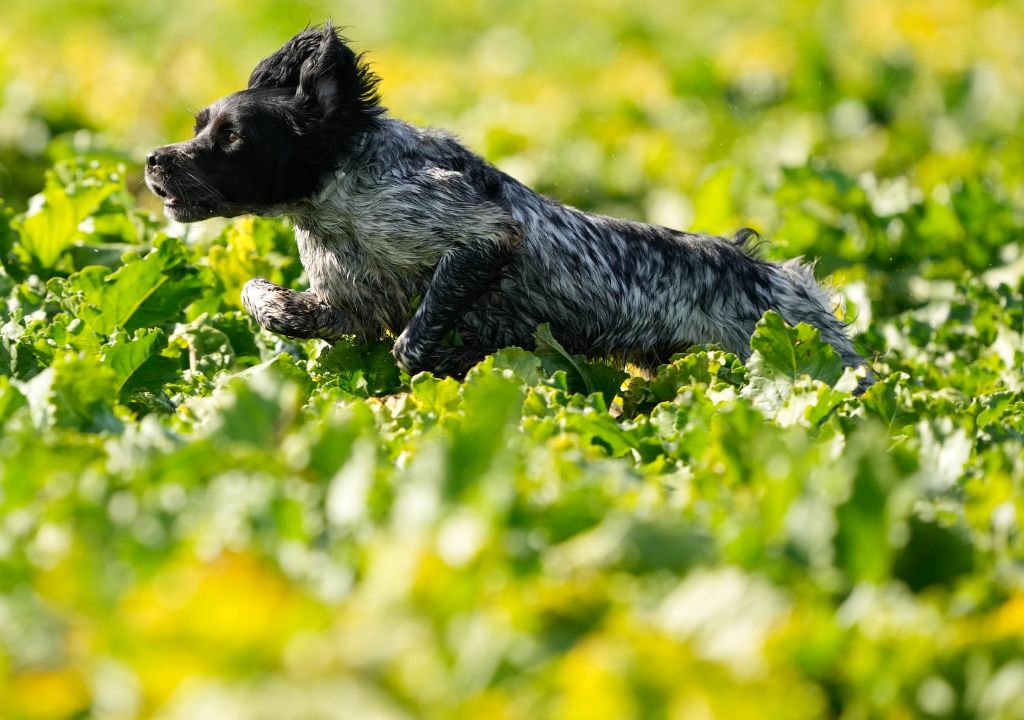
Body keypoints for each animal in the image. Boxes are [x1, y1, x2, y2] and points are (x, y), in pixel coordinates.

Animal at [142, 22, 864, 385]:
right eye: (199, 123)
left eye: (230, 138)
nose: (152, 158)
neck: (339, 196)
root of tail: (776, 274)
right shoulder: (349, 304)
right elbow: (262, 300)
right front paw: (268, 298)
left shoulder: (479, 236)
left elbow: (418, 336)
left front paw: (443, 362)